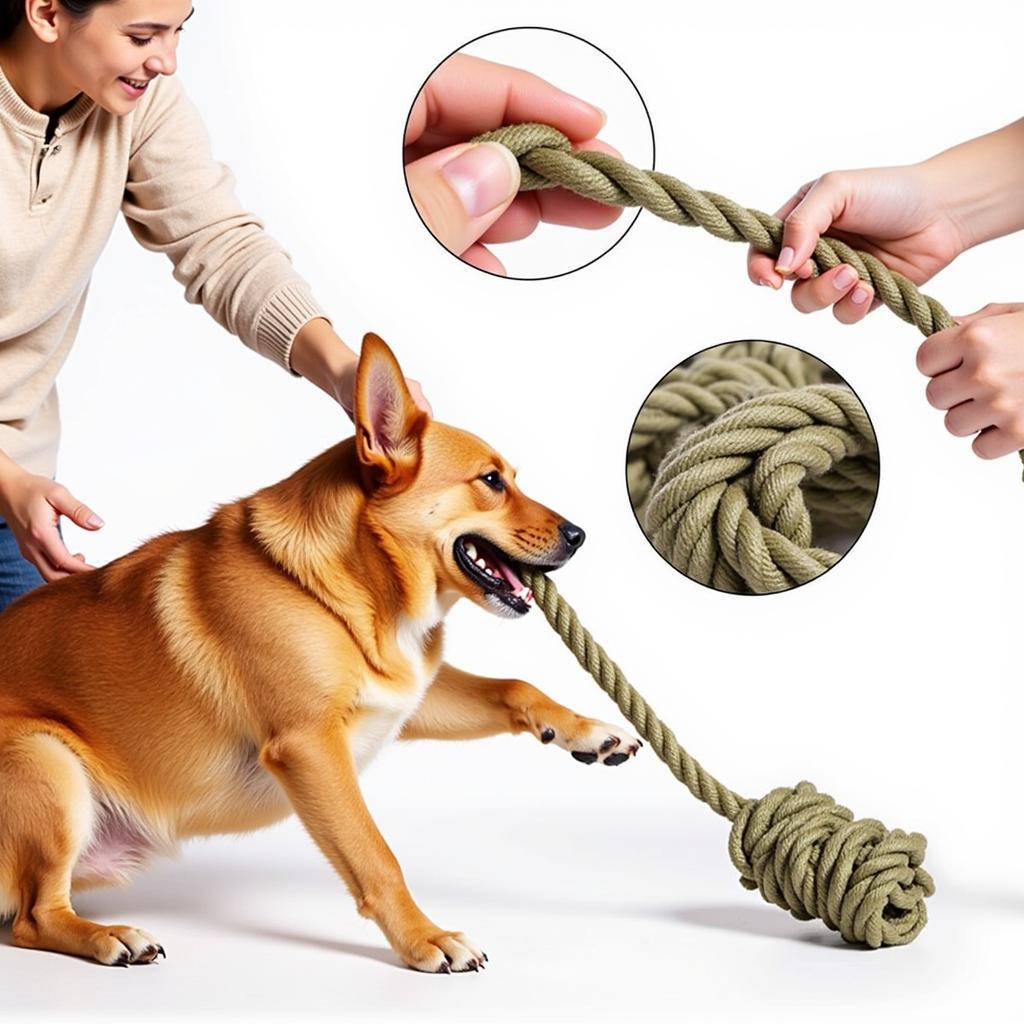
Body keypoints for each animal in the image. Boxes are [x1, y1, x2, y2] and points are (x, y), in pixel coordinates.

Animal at [0, 333, 638, 966]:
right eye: (490, 482)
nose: (580, 536)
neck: (354, 584)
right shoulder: (310, 746)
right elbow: (378, 857)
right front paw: (425, 939)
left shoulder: (406, 699)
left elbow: (513, 686)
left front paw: (589, 731)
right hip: (46, 761)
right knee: (34, 918)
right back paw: (112, 938)